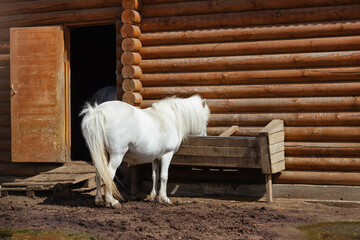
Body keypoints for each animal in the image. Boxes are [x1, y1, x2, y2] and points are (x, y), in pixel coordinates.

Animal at [80, 94, 210, 207]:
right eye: (205, 120)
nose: (205, 136)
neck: (169, 119)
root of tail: (97, 112)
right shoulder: (167, 155)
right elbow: (164, 176)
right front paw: (164, 198)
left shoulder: (156, 158)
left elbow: (155, 176)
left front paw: (153, 197)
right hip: (117, 155)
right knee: (109, 175)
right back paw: (112, 202)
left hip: (100, 154)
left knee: (99, 175)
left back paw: (99, 200)